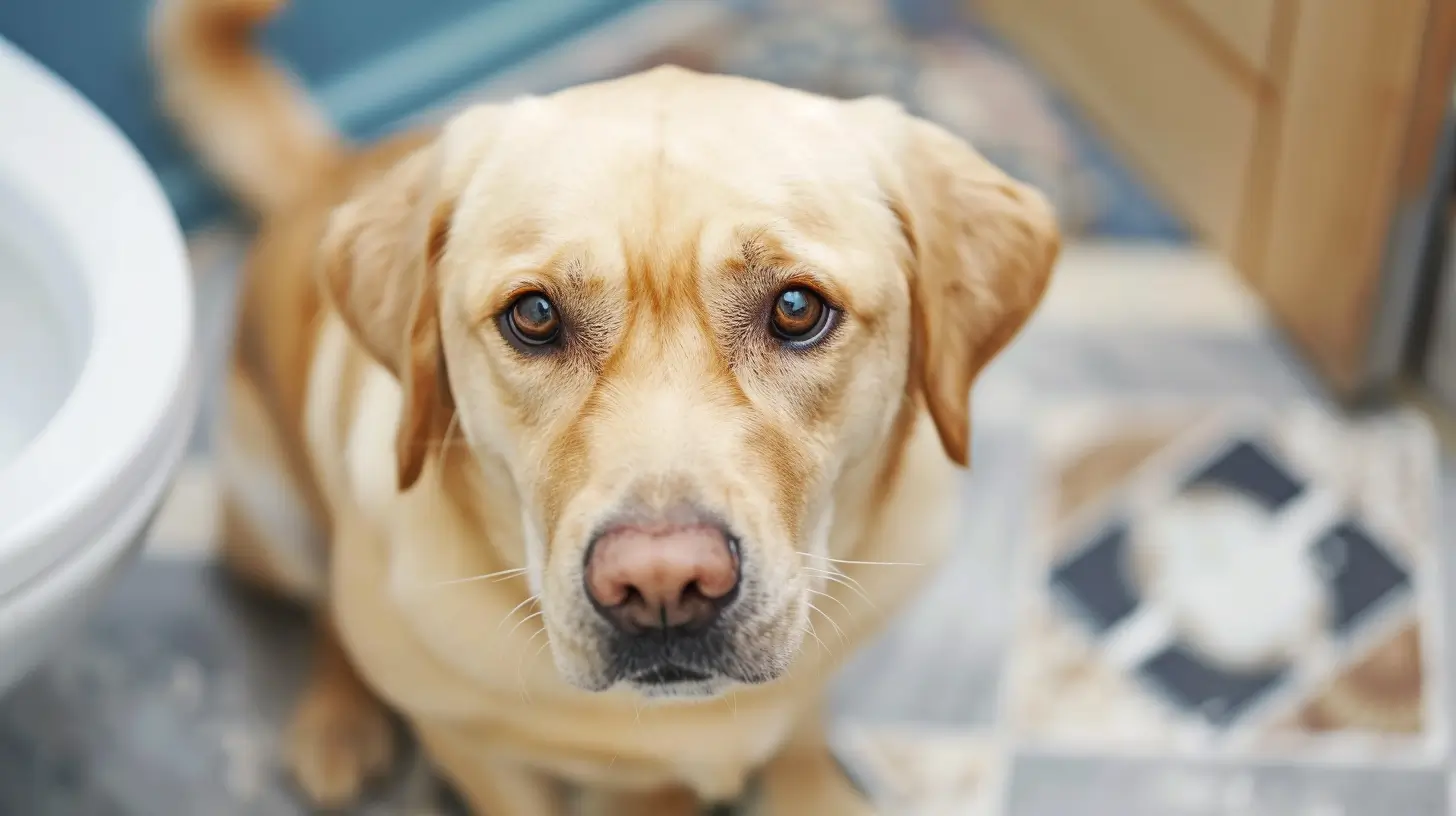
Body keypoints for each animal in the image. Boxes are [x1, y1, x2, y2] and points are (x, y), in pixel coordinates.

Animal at [150, 1, 1059, 810]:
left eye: (798, 309)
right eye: (534, 316)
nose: (662, 584)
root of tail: (326, 172)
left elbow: (800, 748)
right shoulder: (477, 752)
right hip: (273, 518)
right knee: (328, 615)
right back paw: (339, 723)